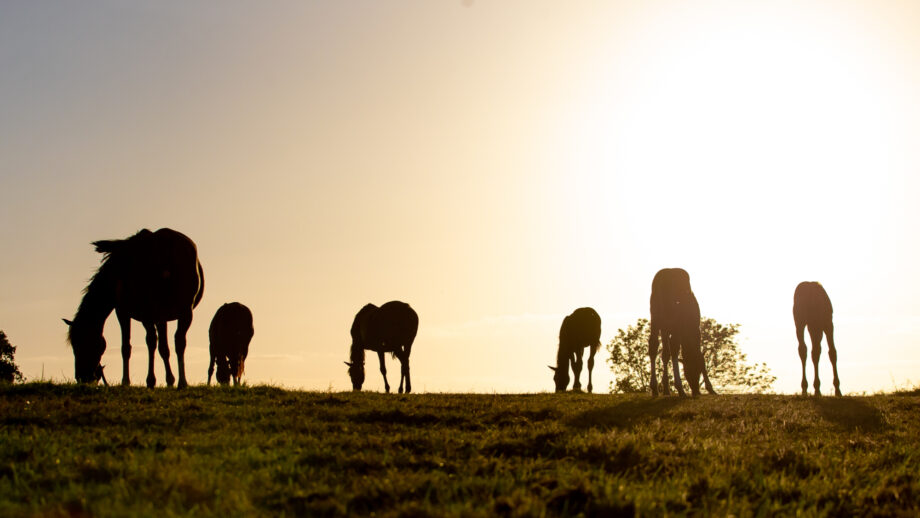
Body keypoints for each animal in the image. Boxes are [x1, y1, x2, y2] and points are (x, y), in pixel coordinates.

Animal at [64, 228, 204, 388]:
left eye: (80, 343)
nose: (82, 377)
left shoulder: (123, 312)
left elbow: (126, 347)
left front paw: (126, 381)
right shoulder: (158, 317)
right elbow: (161, 347)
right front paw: (166, 380)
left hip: (154, 313)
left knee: (156, 342)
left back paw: (159, 380)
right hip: (183, 312)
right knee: (178, 342)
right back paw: (181, 382)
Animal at [648, 268, 716, 397]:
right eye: (689, 371)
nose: (696, 391)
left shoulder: (666, 329)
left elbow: (665, 354)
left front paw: (666, 388)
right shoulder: (690, 330)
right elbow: (699, 356)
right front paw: (710, 387)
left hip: (656, 318)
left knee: (654, 346)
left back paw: (656, 388)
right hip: (671, 322)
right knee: (672, 348)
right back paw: (679, 388)